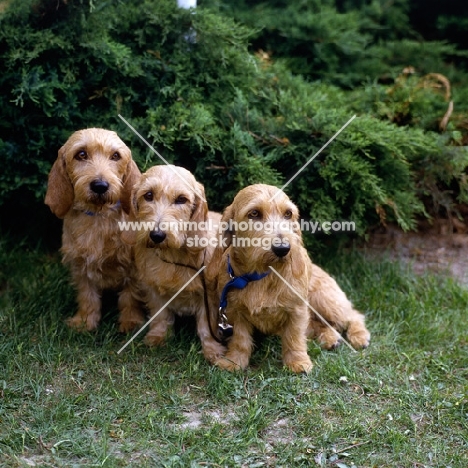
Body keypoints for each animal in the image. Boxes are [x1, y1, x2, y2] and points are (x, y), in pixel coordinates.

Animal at [46, 128, 145, 332]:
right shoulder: (80, 266)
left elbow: (130, 297)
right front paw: (85, 322)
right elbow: (87, 296)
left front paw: (131, 322)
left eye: (115, 156)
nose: (100, 186)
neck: (99, 217)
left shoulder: (134, 268)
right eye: (81, 154)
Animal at [121, 165, 226, 366]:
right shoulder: (152, 289)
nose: (157, 235)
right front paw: (158, 336)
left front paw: (212, 350)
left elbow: (206, 326)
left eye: (181, 199)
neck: (173, 255)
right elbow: (160, 316)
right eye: (148, 195)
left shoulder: (209, 297)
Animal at [205, 183, 370, 372]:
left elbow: (294, 337)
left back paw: (359, 336)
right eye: (254, 213)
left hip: (327, 302)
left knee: (353, 316)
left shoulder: (297, 311)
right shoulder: (235, 312)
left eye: (288, 214)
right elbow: (240, 340)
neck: (262, 275)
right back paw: (330, 338)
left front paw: (298, 362)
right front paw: (234, 361)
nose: (283, 248)